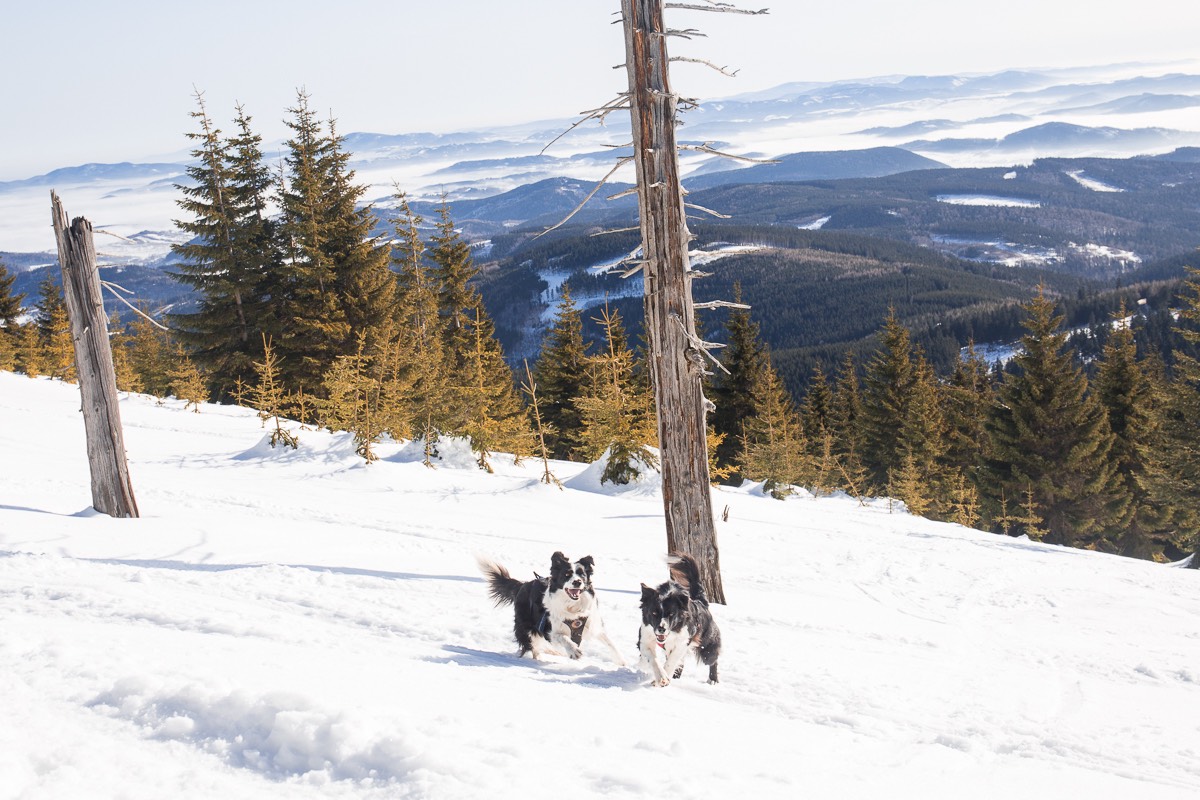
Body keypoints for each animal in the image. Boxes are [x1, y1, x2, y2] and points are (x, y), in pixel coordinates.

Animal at [477, 551, 628, 662]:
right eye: (566, 574)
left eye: (582, 574)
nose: (577, 582)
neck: (572, 608)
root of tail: (523, 585)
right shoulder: (550, 630)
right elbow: (563, 638)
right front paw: (574, 651)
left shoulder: (593, 624)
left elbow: (611, 643)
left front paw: (622, 663)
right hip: (527, 627)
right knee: (533, 646)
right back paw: (541, 658)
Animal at [638, 554, 720, 686]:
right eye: (654, 613)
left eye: (671, 614)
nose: (661, 629)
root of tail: (701, 602)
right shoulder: (646, 637)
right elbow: (653, 659)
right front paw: (661, 677)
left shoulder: (682, 642)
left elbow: (672, 661)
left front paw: (663, 678)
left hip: (707, 646)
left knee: (712, 659)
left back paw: (712, 679)